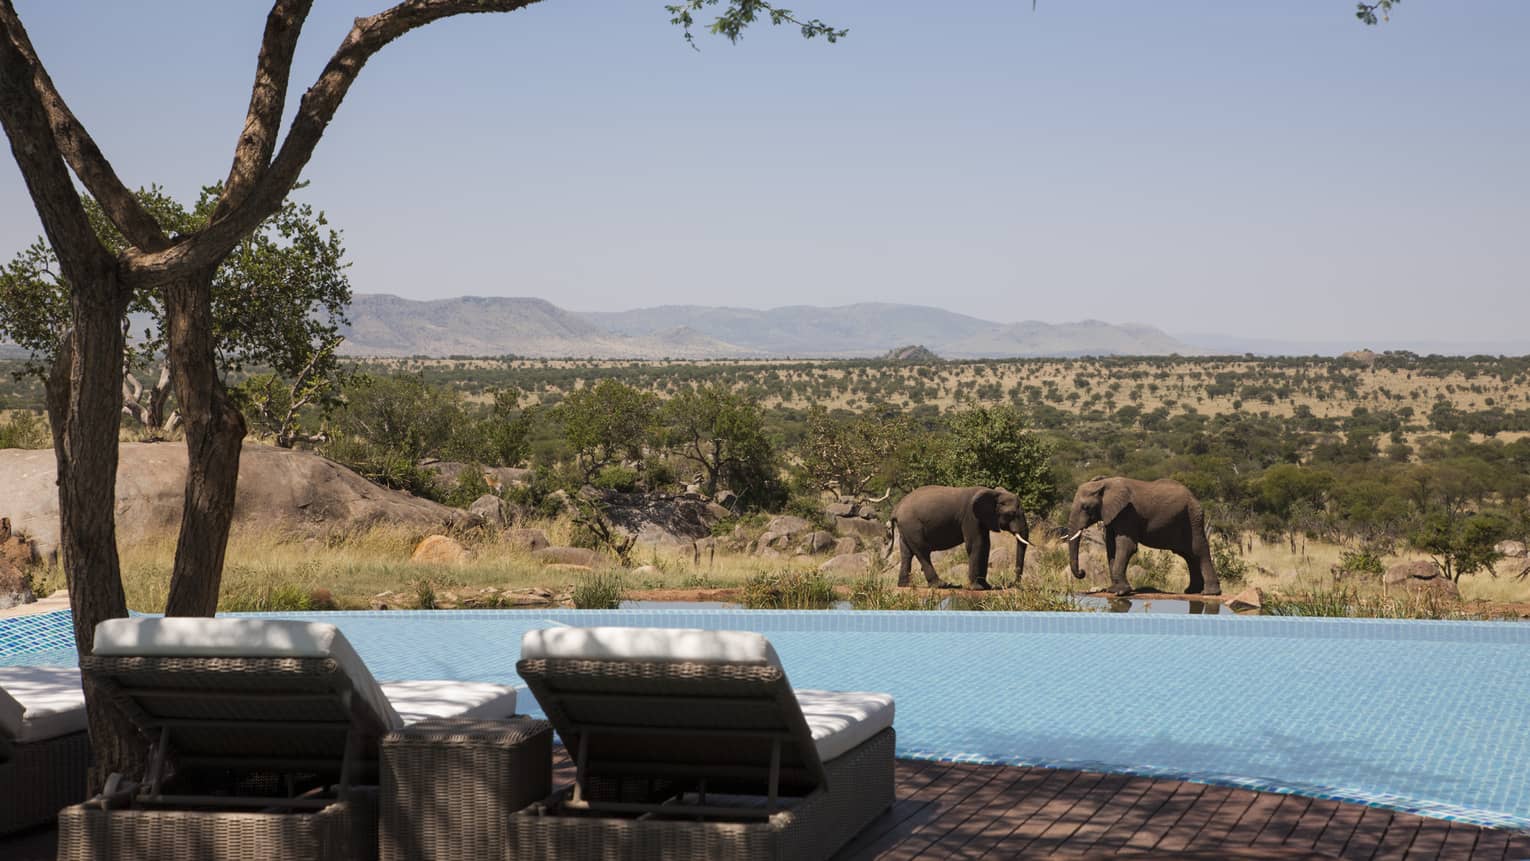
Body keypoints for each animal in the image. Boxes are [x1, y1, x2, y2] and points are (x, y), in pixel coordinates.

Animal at [891, 485, 1031, 590]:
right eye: (1011, 514)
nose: (1013, 584)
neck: (993, 493)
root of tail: (896, 509)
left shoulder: (981, 519)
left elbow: (985, 545)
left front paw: (986, 586)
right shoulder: (971, 516)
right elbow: (976, 544)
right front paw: (977, 588)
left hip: (905, 528)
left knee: (906, 553)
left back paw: (905, 585)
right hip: (912, 525)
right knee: (922, 551)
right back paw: (942, 585)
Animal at [1064, 476, 1220, 596]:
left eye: (1085, 507)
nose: (1082, 572)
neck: (1105, 483)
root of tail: (1194, 497)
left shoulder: (1127, 513)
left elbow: (1126, 546)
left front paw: (1121, 592)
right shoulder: (1112, 515)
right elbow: (1111, 547)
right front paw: (1113, 590)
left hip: (1193, 517)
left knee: (1198, 550)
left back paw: (1210, 593)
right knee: (1188, 555)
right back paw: (1191, 591)